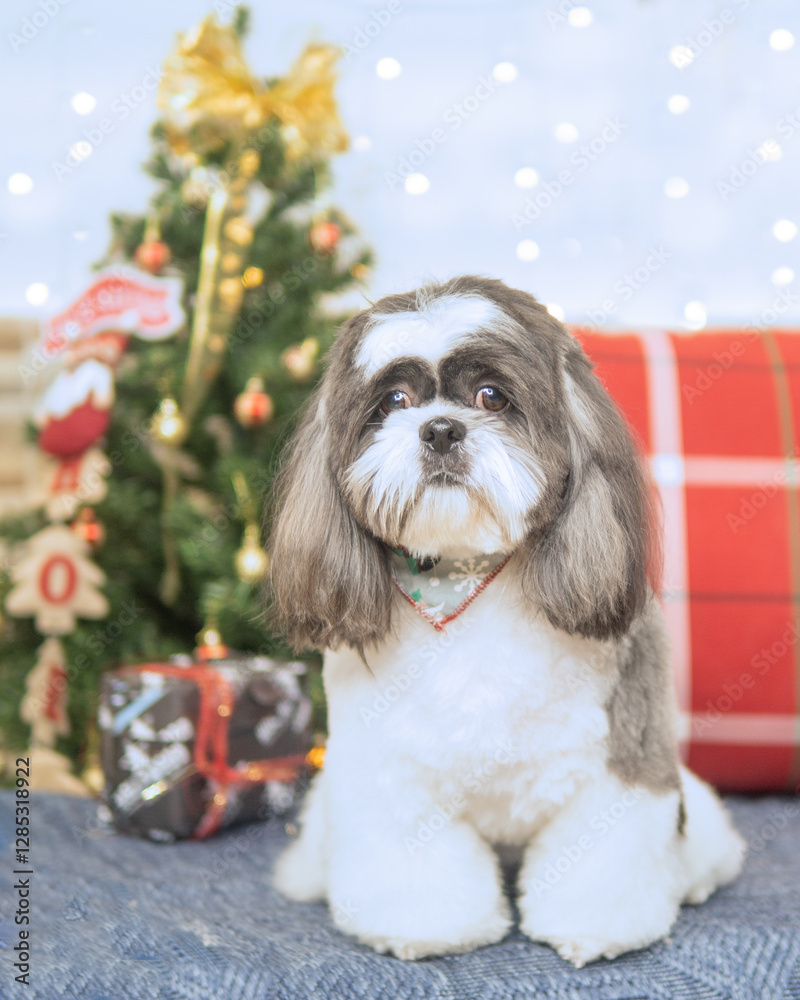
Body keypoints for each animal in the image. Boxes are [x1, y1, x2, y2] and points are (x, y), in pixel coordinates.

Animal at [269, 275, 745, 966]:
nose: (440, 429)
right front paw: (426, 929)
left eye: (491, 396)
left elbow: (604, 858)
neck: (463, 579)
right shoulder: (390, 780)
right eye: (394, 400)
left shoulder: (618, 769)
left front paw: (596, 927)